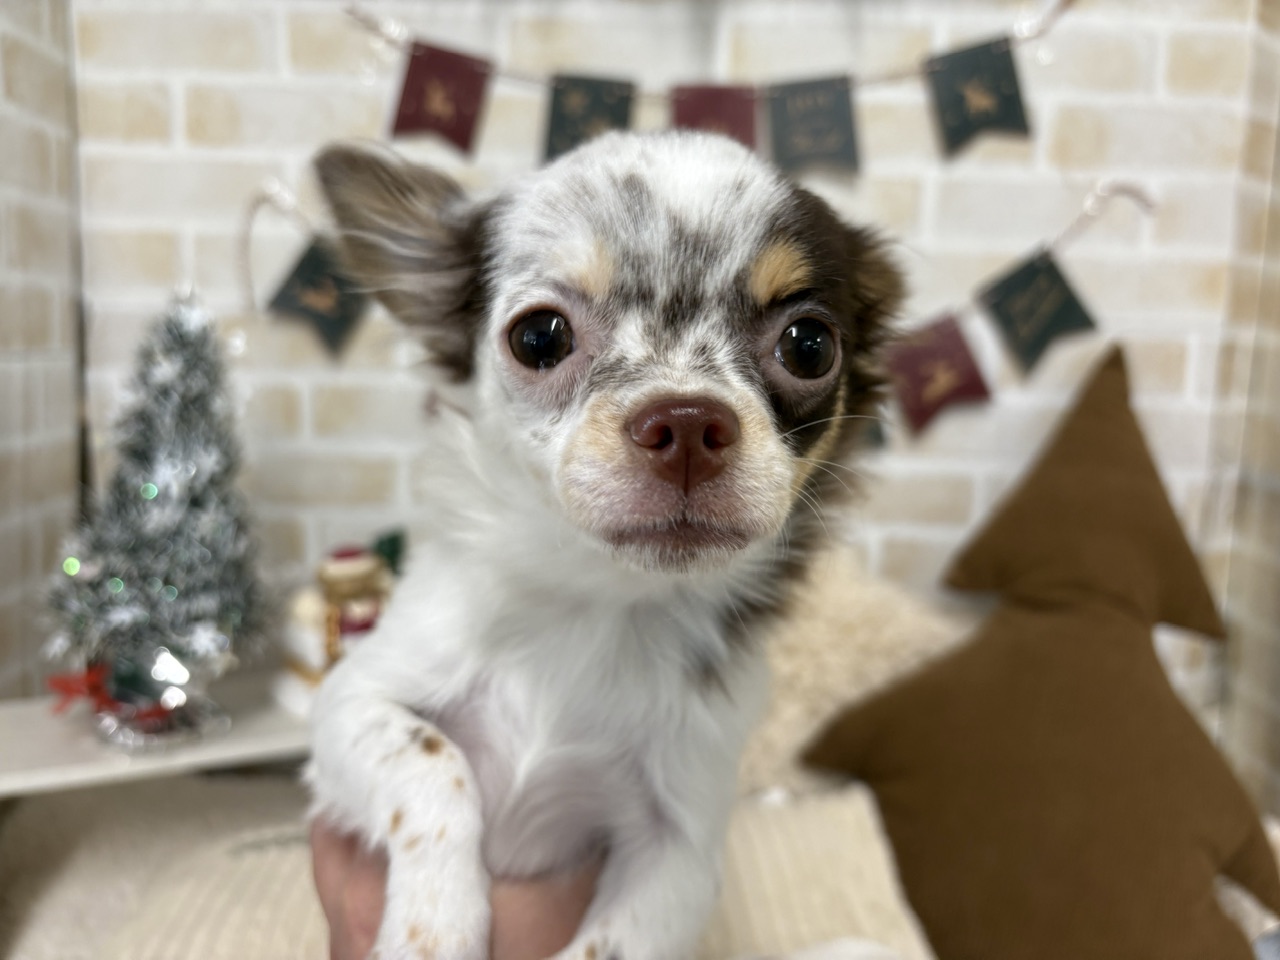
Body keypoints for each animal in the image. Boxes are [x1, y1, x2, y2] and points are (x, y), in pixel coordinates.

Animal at [307, 130, 903, 960]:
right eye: (538, 337)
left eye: (810, 345)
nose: (686, 420)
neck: (599, 597)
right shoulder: (350, 707)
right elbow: (434, 766)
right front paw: (436, 927)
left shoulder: (680, 850)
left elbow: (611, 946)